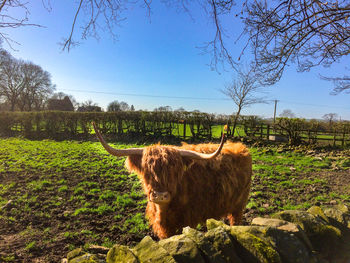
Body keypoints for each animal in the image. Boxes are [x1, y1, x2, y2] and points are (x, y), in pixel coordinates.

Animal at [93, 122, 252, 240]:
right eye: (147, 172)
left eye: (174, 172)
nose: (159, 196)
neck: (163, 211)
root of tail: (240, 147)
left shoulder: (188, 220)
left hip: (239, 205)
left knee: (236, 220)